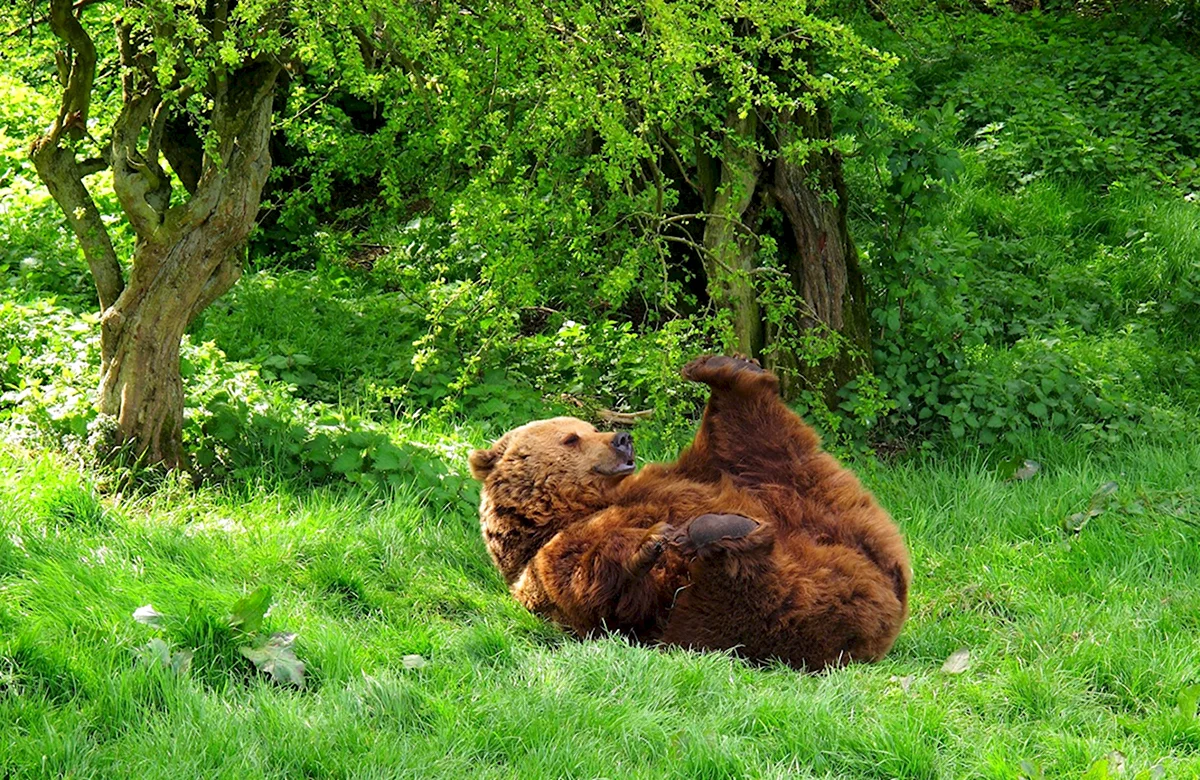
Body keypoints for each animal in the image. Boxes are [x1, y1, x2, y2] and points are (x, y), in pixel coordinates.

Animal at [465, 355, 907, 667]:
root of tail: (889, 591)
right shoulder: (550, 563)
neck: (575, 506)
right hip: (737, 615)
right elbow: (596, 589)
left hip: (800, 493)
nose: (622, 438)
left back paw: (730, 371)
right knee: (755, 592)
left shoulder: (672, 475)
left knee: (759, 443)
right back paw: (722, 532)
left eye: (591, 427)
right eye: (571, 438)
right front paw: (648, 541)